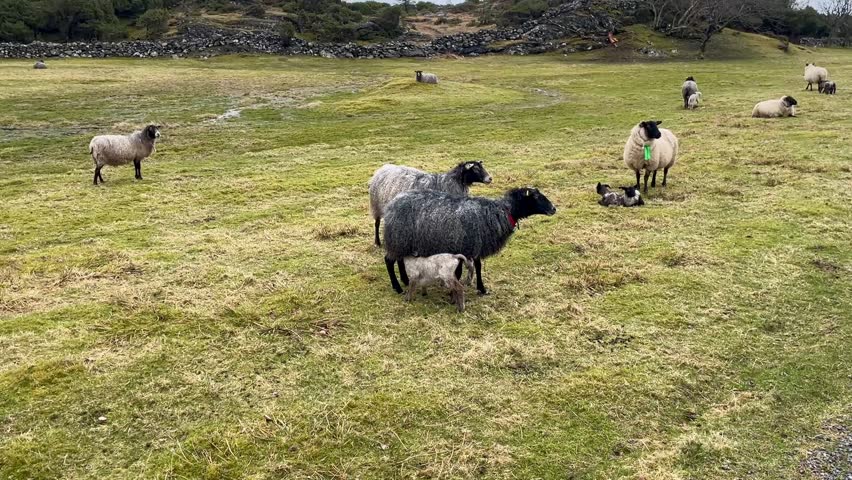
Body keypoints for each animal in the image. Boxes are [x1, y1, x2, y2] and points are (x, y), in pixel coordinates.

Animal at [382, 187, 556, 295]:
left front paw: (481, 288)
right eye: (535, 196)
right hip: (398, 237)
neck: (501, 213)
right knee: (389, 261)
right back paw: (397, 287)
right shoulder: (465, 246)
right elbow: (460, 270)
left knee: (399, 259)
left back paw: (405, 280)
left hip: (402, 240)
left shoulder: (474, 245)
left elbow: (478, 267)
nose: (554, 208)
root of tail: (392, 203)